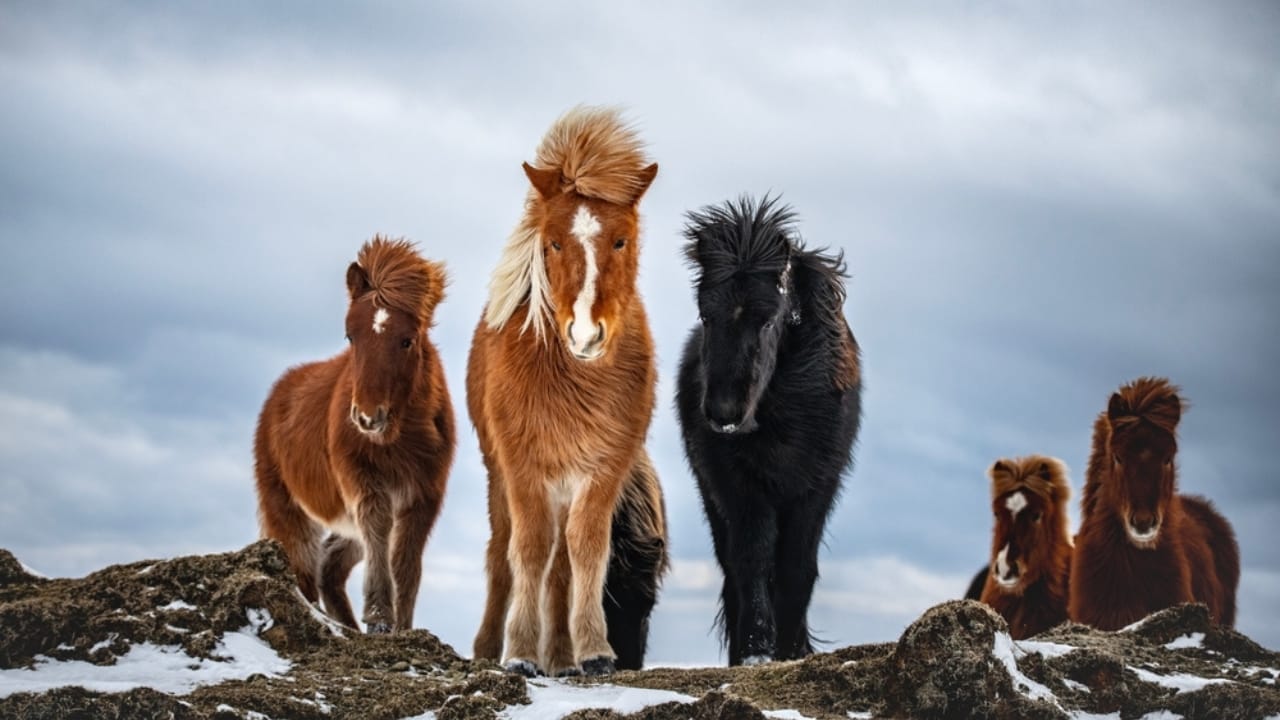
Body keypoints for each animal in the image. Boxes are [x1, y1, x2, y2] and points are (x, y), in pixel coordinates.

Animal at [253, 236, 455, 634]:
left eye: (407, 340)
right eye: (351, 335)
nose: (366, 417)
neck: (399, 436)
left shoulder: (425, 494)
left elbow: (406, 562)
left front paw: (401, 627)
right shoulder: (364, 482)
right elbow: (379, 530)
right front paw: (379, 619)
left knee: (329, 566)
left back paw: (346, 626)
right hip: (288, 509)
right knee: (304, 568)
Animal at [468, 106, 668, 678]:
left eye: (621, 240)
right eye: (554, 242)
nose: (584, 335)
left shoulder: (605, 468)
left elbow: (585, 550)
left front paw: (593, 651)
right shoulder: (522, 465)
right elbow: (529, 550)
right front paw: (517, 653)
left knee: (560, 565)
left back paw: (561, 656)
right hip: (499, 475)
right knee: (502, 553)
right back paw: (491, 648)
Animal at [676, 195, 861, 666]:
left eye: (768, 320)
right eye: (705, 314)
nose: (724, 413)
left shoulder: (816, 487)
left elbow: (797, 566)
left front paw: (789, 650)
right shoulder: (740, 487)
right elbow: (752, 562)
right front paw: (756, 652)